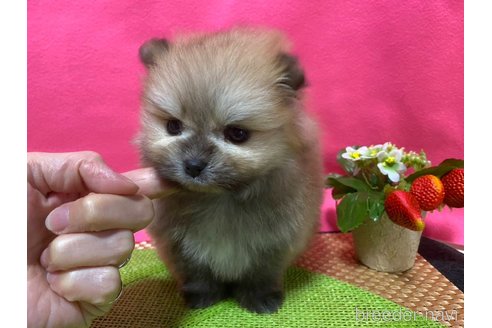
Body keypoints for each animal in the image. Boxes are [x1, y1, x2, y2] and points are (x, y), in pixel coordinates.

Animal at [136, 27, 324, 312]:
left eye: (237, 134)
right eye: (172, 126)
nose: (193, 165)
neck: (220, 200)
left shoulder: (275, 244)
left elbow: (261, 274)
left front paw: (260, 298)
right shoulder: (180, 246)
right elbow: (198, 274)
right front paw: (201, 296)